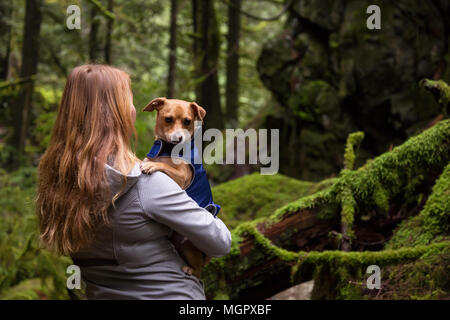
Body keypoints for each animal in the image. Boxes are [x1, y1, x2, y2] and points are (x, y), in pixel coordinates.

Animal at [141, 97, 211, 278]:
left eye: (187, 121)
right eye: (168, 119)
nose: (178, 138)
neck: (167, 150)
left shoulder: (181, 178)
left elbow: (164, 166)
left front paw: (152, 165)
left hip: (187, 245)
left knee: (199, 270)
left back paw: (191, 269)